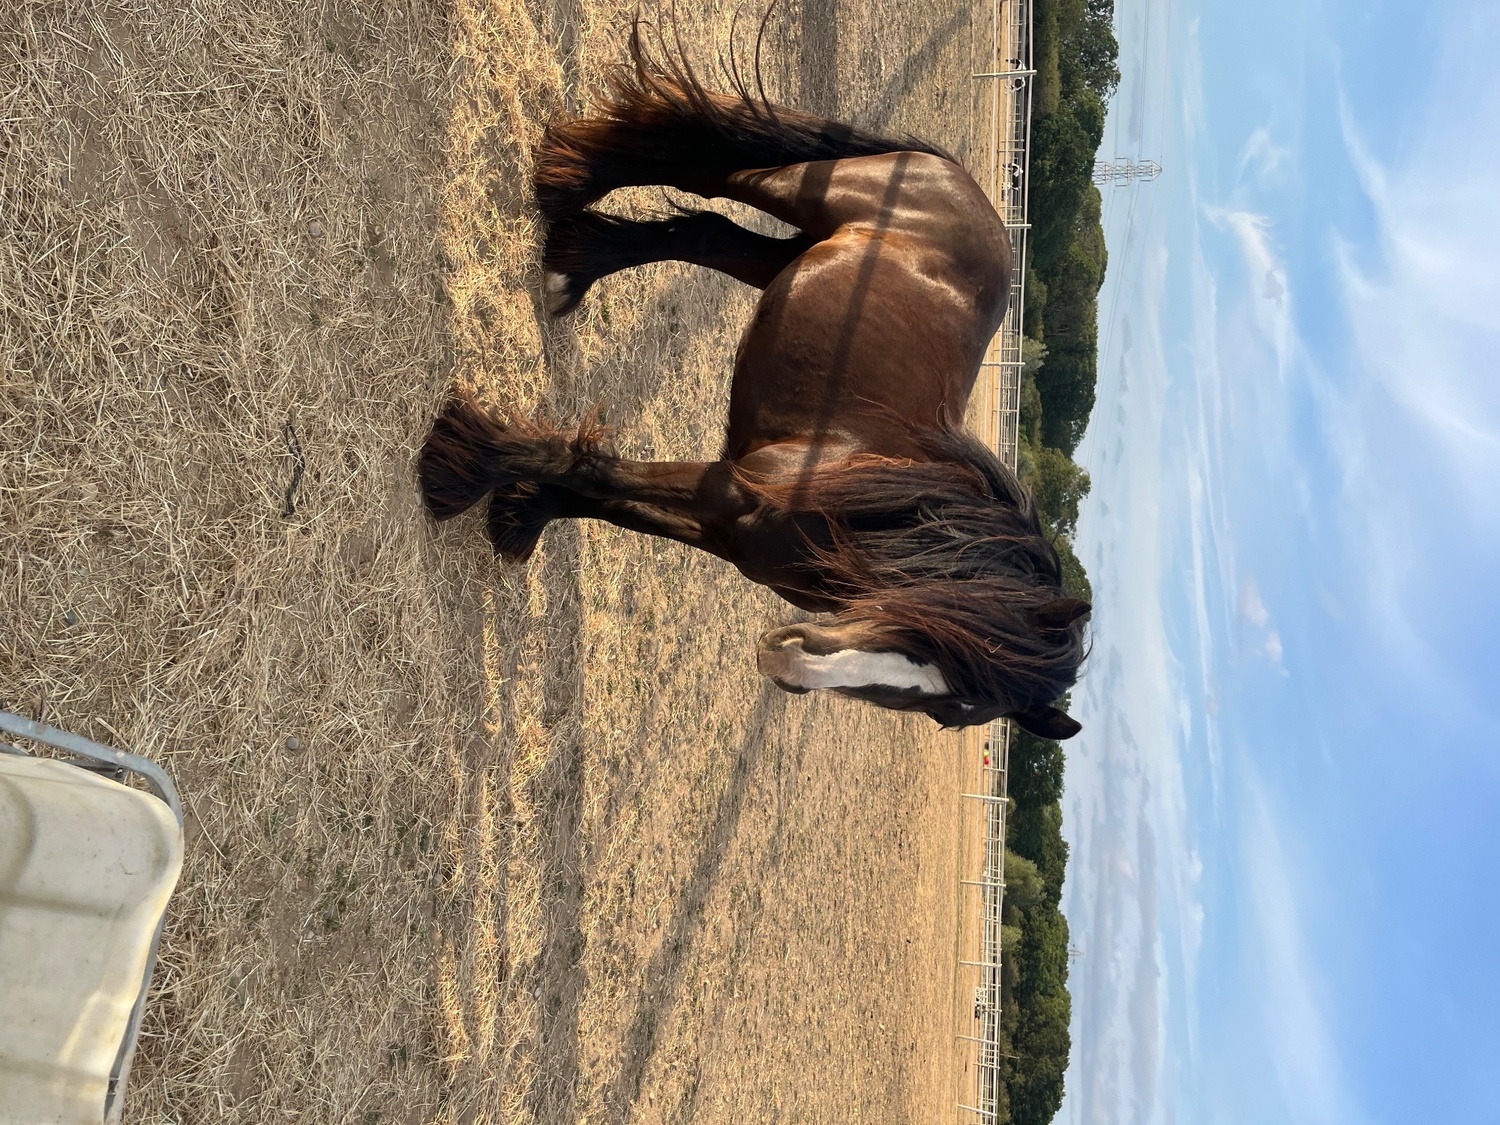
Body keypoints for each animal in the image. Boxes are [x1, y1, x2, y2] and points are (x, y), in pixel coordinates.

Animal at [419, 25, 1089, 738]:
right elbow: (595, 472)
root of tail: (963, 187)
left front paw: (523, 509)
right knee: (709, 173)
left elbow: (612, 504)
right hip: (805, 194)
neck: (863, 507)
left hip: (787, 257)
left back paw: (575, 261)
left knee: (705, 231)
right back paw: (570, 184)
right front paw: (465, 469)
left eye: (947, 712)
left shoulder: (724, 529)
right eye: (931, 638)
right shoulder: (727, 489)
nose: (790, 662)